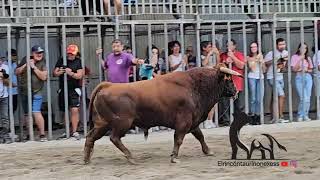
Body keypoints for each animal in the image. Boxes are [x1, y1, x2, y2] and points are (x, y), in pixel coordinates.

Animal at [84, 63, 241, 165]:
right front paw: (174, 157)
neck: (194, 86)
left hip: (103, 124)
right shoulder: (184, 122)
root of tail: (108, 85)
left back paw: (87, 159)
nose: (236, 91)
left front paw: (208, 151)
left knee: (91, 137)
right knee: (114, 138)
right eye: (229, 79)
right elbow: (179, 139)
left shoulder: (193, 121)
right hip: (122, 123)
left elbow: (200, 136)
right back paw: (130, 157)